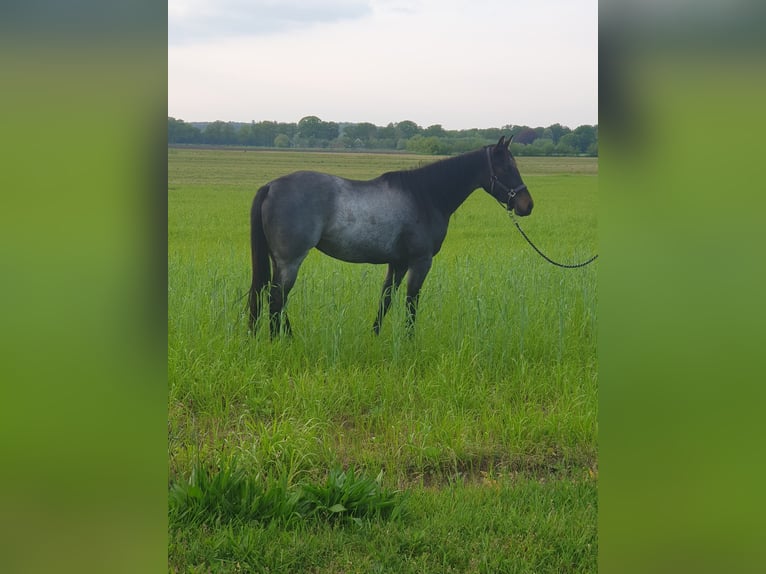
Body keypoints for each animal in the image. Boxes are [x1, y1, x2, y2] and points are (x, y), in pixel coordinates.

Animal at [250, 136, 536, 338]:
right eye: (506, 167)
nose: (527, 205)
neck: (425, 195)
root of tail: (271, 186)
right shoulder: (420, 262)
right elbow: (411, 303)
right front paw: (410, 341)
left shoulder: (398, 263)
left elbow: (385, 300)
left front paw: (375, 336)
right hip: (290, 261)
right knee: (276, 299)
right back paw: (277, 340)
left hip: (279, 262)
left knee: (275, 298)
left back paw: (287, 336)